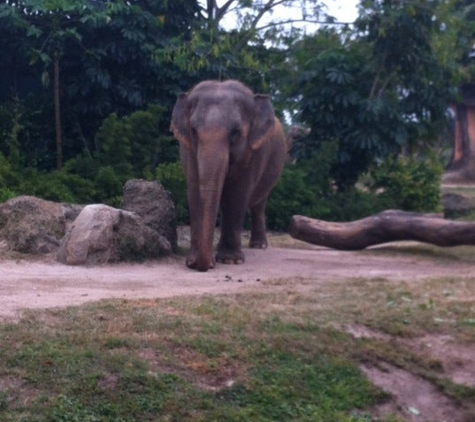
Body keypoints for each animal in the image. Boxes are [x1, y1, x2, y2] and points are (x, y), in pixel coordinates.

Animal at [173, 79, 288, 272]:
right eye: (193, 130)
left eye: (235, 132)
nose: (204, 266)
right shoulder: (187, 148)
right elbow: (195, 189)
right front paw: (192, 261)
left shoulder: (253, 151)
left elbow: (237, 193)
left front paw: (230, 261)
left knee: (259, 203)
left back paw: (258, 246)